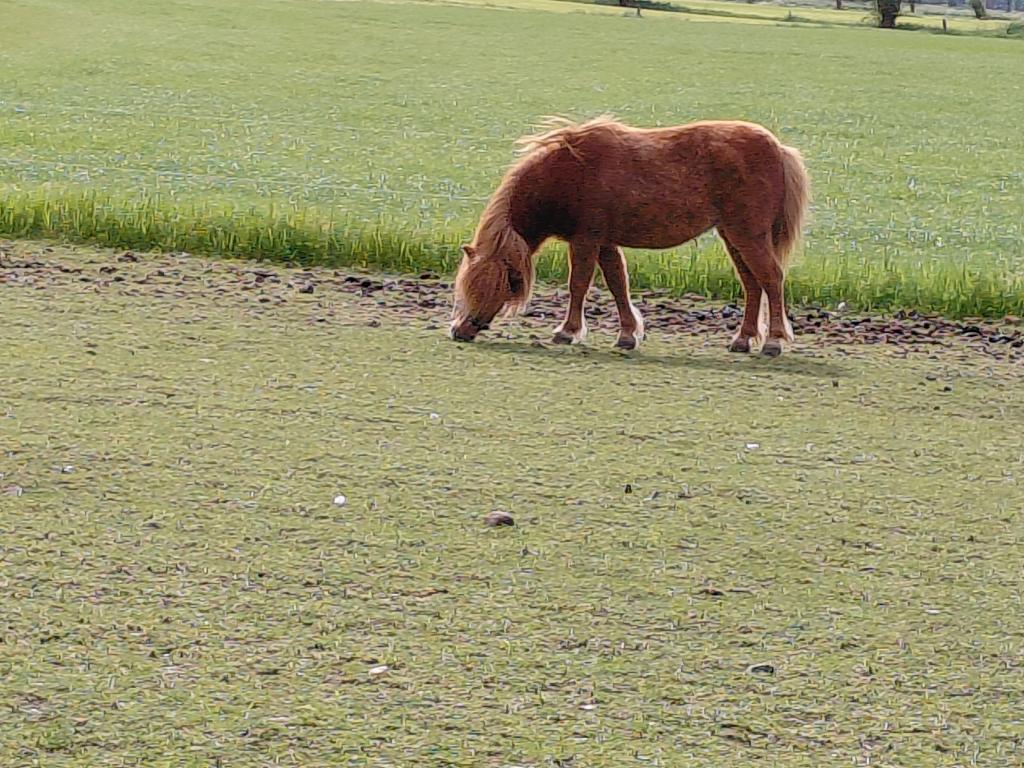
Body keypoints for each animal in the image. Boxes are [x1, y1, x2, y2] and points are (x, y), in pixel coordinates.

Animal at [449, 116, 810, 356]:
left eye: (498, 285)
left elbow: (578, 285)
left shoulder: (586, 240)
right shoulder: (605, 243)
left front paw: (567, 331)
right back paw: (743, 339)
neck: (568, 172)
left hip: (748, 235)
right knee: (752, 284)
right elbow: (617, 284)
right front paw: (627, 335)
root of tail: (778, 148)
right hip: (734, 237)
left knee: (771, 279)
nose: (459, 330)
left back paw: (773, 341)